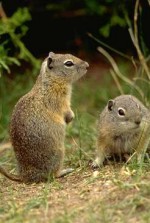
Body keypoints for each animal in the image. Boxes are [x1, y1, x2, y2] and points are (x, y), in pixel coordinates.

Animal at [0, 51, 89, 183]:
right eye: (68, 63)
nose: (87, 65)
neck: (51, 81)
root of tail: (26, 175)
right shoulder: (61, 102)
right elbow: (66, 111)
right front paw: (70, 117)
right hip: (59, 153)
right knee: (52, 175)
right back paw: (65, 171)